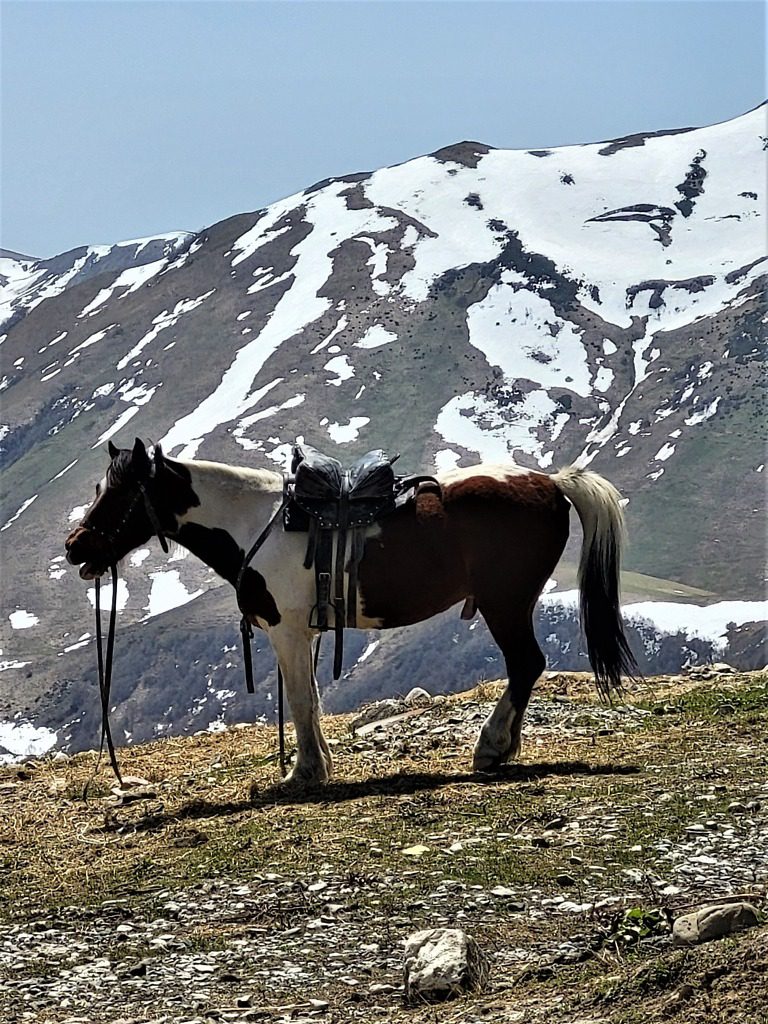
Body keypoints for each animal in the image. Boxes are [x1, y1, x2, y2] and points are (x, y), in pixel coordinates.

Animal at [65, 438, 638, 784]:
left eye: (118, 494)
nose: (75, 548)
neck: (256, 524)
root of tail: (550, 483)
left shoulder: (286, 631)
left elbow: (299, 700)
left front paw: (304, 773)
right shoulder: (309, 632)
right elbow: (314, 699)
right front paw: (318, 765)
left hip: (506, 603)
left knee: (525, 664)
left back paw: (491, 748)